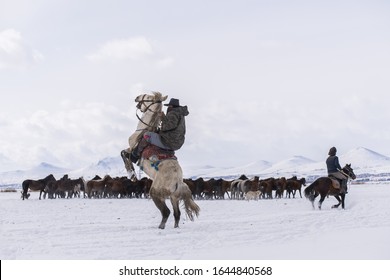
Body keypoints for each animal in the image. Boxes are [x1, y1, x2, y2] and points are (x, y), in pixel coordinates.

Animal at [121, 92, 201, 230]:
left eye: (148, 97)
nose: (137, 97)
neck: (144, 130)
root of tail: (178, 182)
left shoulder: (131, 150)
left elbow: (123, 154)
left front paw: (132, 175)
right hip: (174, 197)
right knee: (176, 214)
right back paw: (175, 227)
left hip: (156, 193)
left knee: (166, 212)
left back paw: (161, 227)